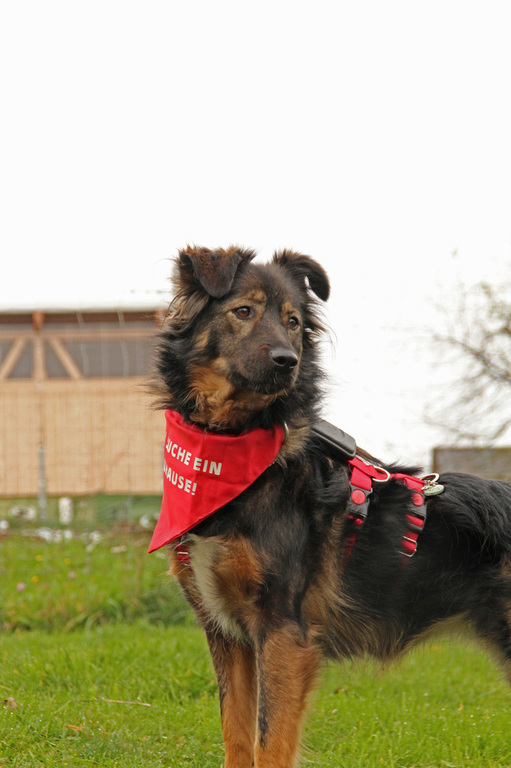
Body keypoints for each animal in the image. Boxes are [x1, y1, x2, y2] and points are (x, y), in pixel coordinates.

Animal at [150, 246, 511, 768]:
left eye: (294, 322)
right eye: (244, 311)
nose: (288, 360)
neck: (234, 450)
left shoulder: (283, 630)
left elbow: (268, 743)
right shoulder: (228, 634)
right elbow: (237, 735)